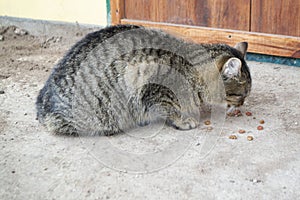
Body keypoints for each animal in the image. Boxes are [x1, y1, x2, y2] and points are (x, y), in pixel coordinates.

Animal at [35, 23, 251, 136]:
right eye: (242, 95)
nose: (241, 104)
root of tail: (41, 105)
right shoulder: (155, 88)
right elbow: (170, 108)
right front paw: (182, 120)